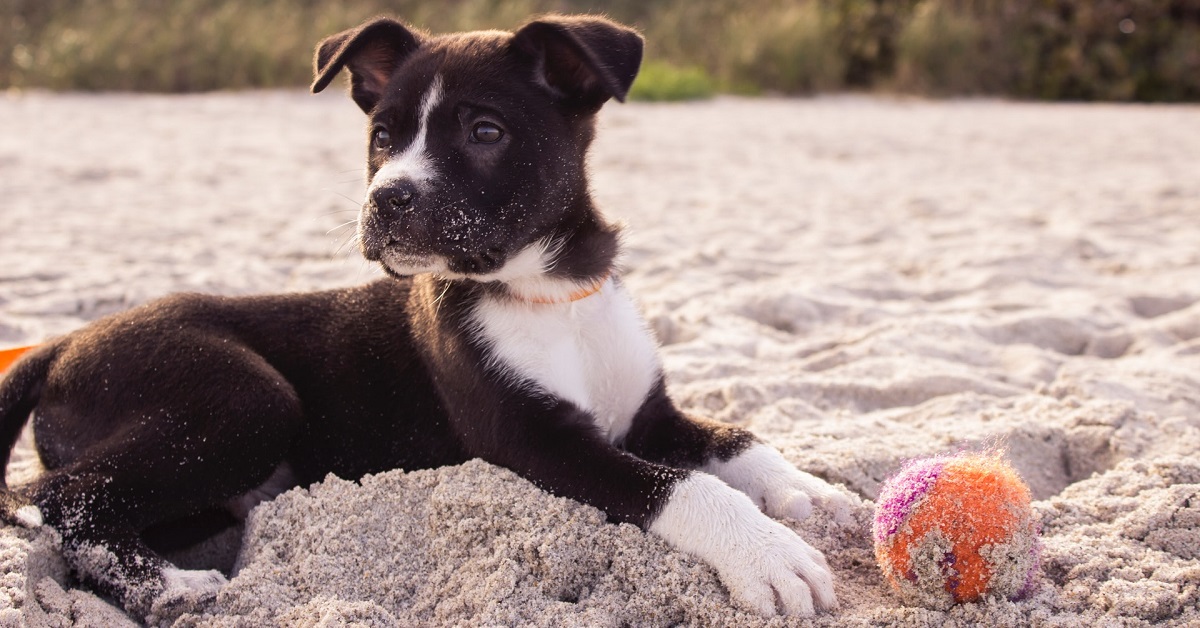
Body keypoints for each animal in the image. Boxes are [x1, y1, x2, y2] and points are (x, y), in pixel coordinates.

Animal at [0, 14, 849, 624]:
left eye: (485, 132)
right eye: (382, 138)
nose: (386, 199)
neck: (546, 292)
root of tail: (64, 343)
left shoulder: (648, 413)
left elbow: (737, 439)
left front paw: (810, 490)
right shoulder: (534, 441)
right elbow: (681, 486)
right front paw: (768, 555)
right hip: (246, 398)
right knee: (57, 500)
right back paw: (170, 589)